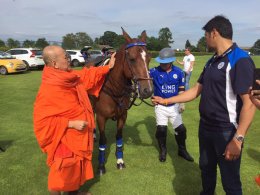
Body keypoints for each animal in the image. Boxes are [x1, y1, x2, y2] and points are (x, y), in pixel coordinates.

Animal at [92, 27, 153, 175]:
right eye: (131, 59)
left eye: (149, 58)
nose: (147, 90)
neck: (115, 87)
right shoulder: (101, 117)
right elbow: (103, 140)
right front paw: (101, 165)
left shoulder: (122, 116)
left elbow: (119, 137)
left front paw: (119, 160)